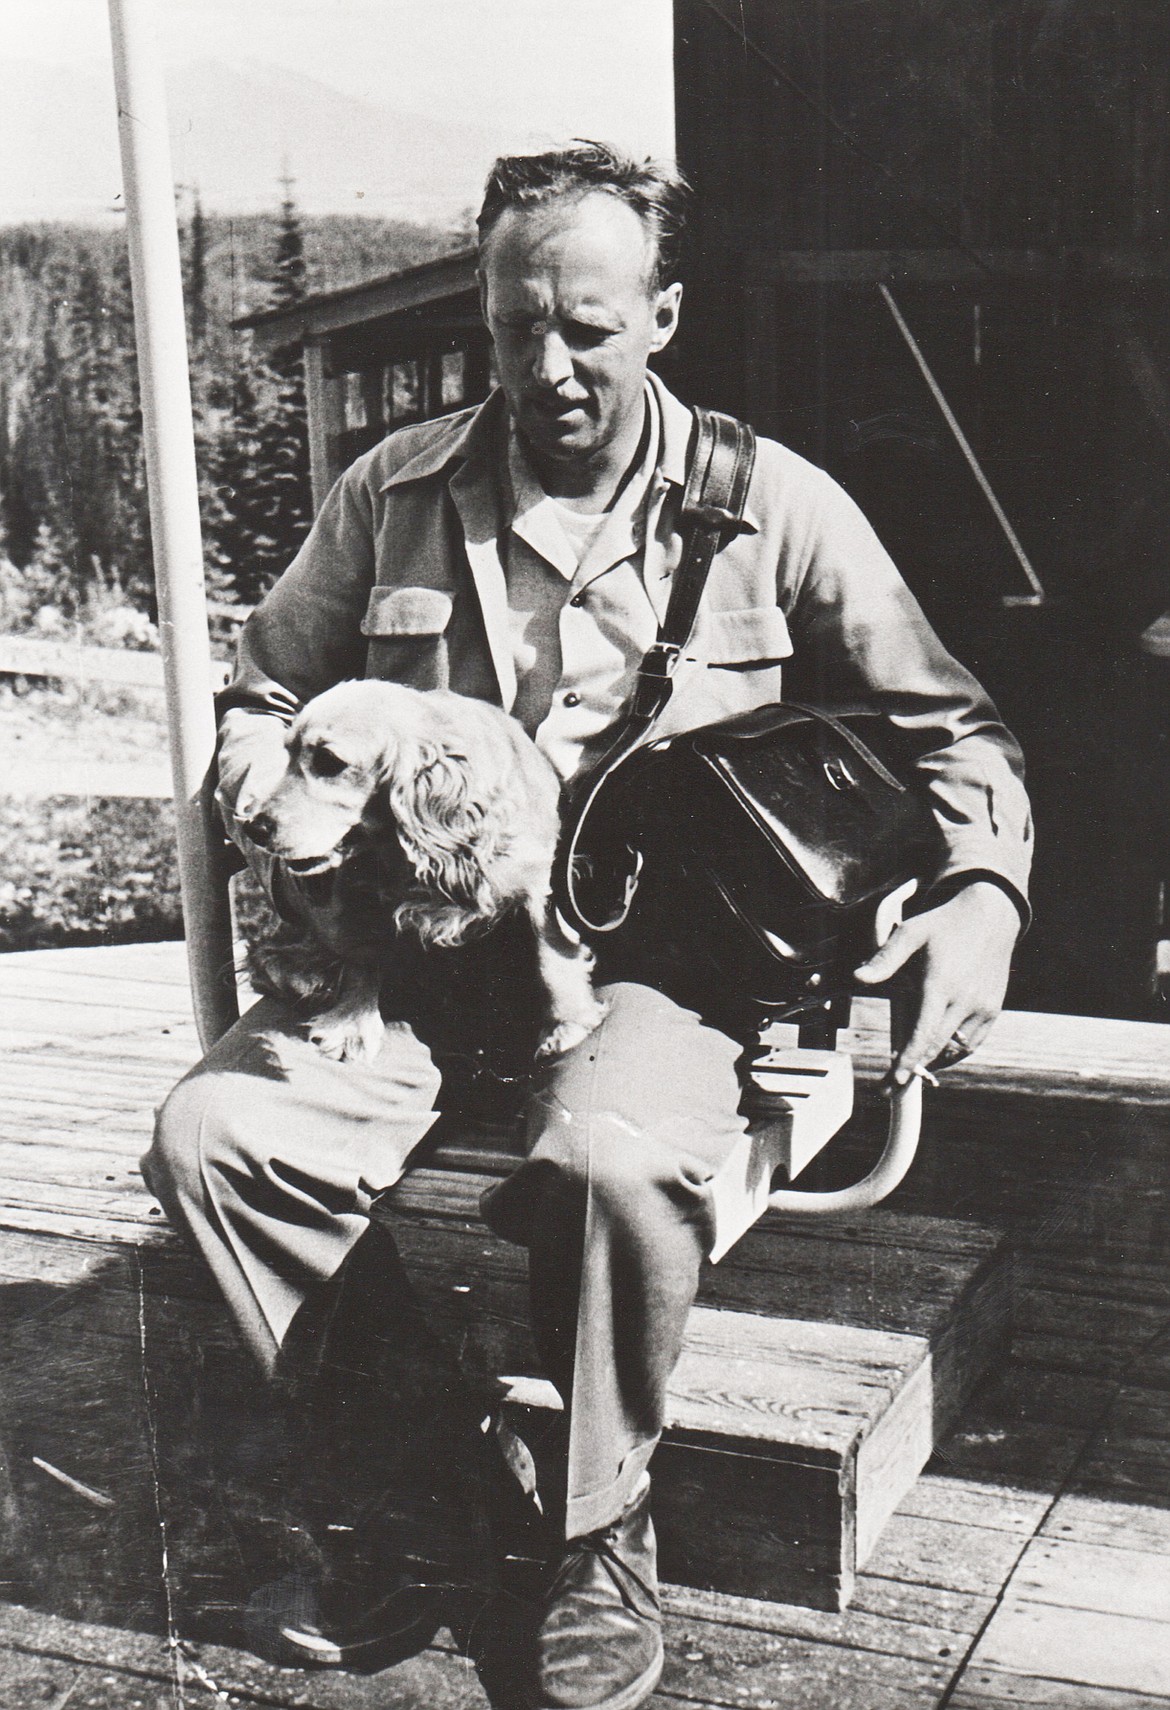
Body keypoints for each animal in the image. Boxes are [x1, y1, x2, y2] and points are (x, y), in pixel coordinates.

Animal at [234, 677, 608, 1053]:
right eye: (287, 754)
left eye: (329, 761)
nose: (253, 827)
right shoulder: (357, 895)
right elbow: (361, 955)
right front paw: (351, 1022)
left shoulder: (542, 881)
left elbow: (551, 952)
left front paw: (567, 1022)